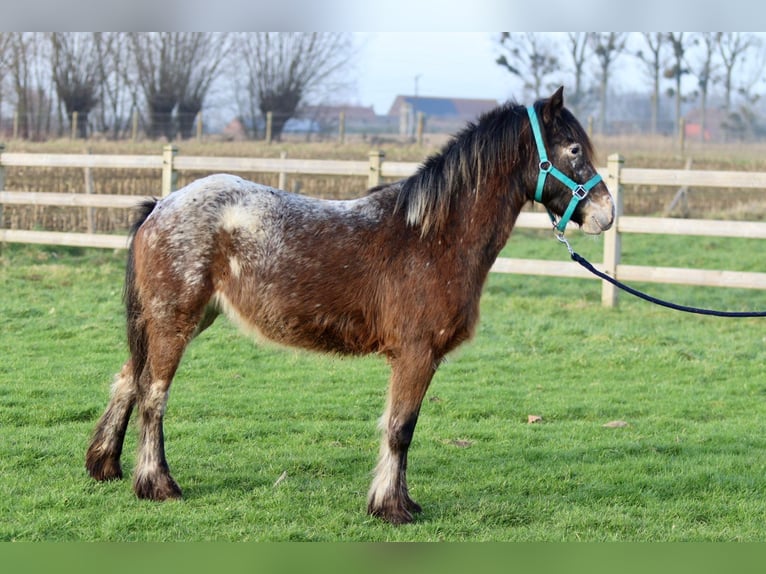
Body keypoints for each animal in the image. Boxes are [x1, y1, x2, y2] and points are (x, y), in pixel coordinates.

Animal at [85, 86, 612, 528]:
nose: (607, 213)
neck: (432, 236)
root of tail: (160, 205)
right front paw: (391, 507)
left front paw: (399, 501)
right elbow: (400, 429)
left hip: (178, 319)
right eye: (573, 149)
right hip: (174, 321)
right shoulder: (416, 354)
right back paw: (157, 485)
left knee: (128, 379)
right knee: (153, 395)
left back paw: (105, 464)